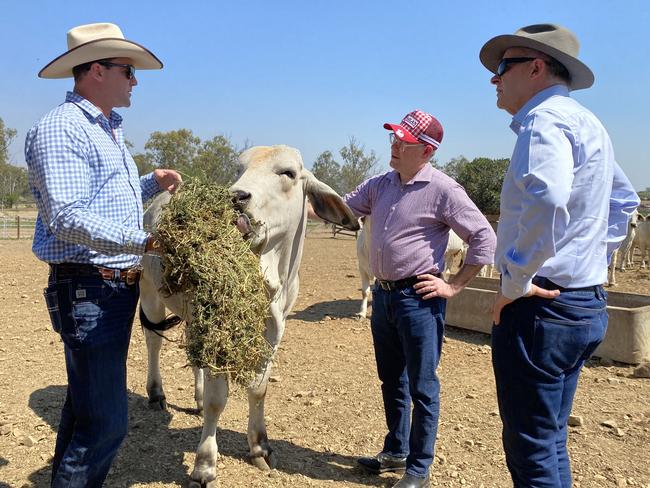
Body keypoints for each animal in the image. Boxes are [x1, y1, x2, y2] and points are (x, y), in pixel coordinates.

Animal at [139, 144, 356, 484]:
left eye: (288, 173)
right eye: (238, 169)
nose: (236, 197)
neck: (273, 276)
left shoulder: (275, 329)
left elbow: (259, 389)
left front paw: (259, 447)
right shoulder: (220, 326)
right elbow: (218, 400)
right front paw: (205, 465)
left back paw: (195, 398)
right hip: (150, 292)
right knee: (153, 341)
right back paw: (157, 393)